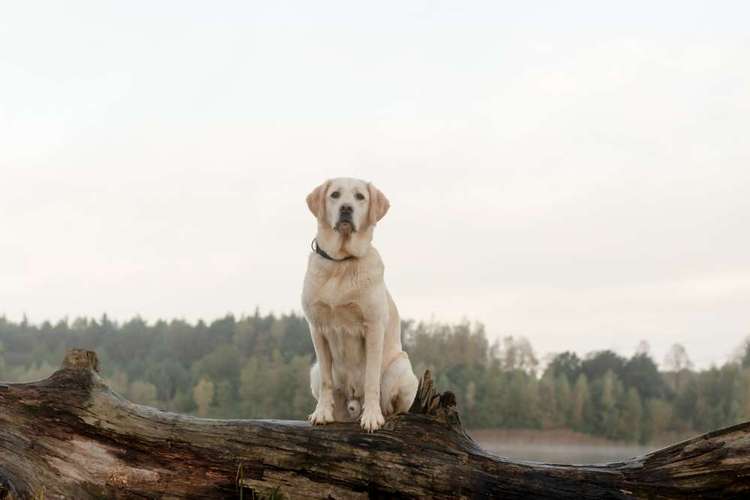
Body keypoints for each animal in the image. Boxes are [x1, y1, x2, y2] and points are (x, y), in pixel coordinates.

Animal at [306, 178, 424, 432]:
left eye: (360, 196)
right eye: (335, 194)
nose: (346, 209)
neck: (341, 263)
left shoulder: (373, 327)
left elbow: (371, 379)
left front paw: (371, 418)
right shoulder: (317, 328)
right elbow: (327, 382)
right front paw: (321, 413)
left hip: (400, 368)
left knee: (395, 407)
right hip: (315, 371)